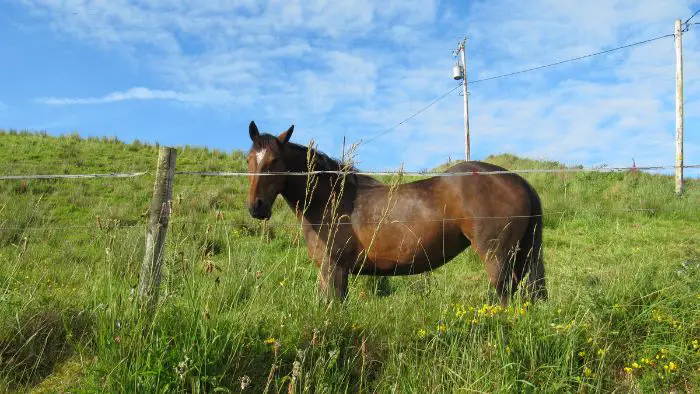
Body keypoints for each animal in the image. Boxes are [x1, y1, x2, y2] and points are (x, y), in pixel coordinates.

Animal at [245, 121, 548, 304]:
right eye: (249, 160)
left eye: (275, 161)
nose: (256, 207)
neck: (330, 198)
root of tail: (518, 180)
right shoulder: (327, 272)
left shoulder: (335, 270)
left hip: (498, 258)